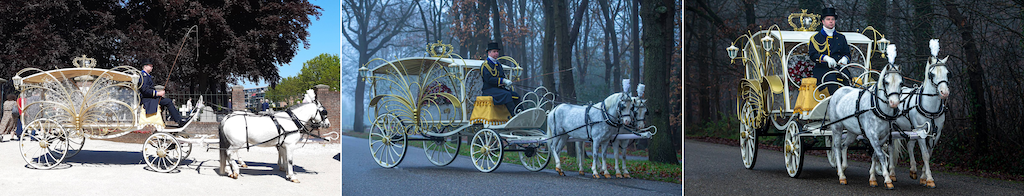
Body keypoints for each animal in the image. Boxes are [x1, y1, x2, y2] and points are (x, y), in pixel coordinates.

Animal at [823, 44, 905, 188]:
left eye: (901, 83)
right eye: (886, 82)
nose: (894, 103)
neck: (878, 108)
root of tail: (838, 91)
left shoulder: (883, 136)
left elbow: (876, 155)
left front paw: (872, 178)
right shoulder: (872, 135)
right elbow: (881, 155)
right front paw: (887, 179)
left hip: (852, 131)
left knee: (844, 145)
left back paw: (843, 167)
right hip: (837, 127)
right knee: (837, 147)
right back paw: (841, 175)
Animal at [888, 38, 950, 187]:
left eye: (947, 73)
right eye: (932, 74)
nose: (944, 92)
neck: (931, 109)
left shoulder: (935, 133)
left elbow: (929, 153)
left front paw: (923, 177)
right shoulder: (922, 132)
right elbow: (925, 155)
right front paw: (929, 179)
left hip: (911, 128)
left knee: (910, 145)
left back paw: (913, 170)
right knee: (891, 148)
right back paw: (891, 173)